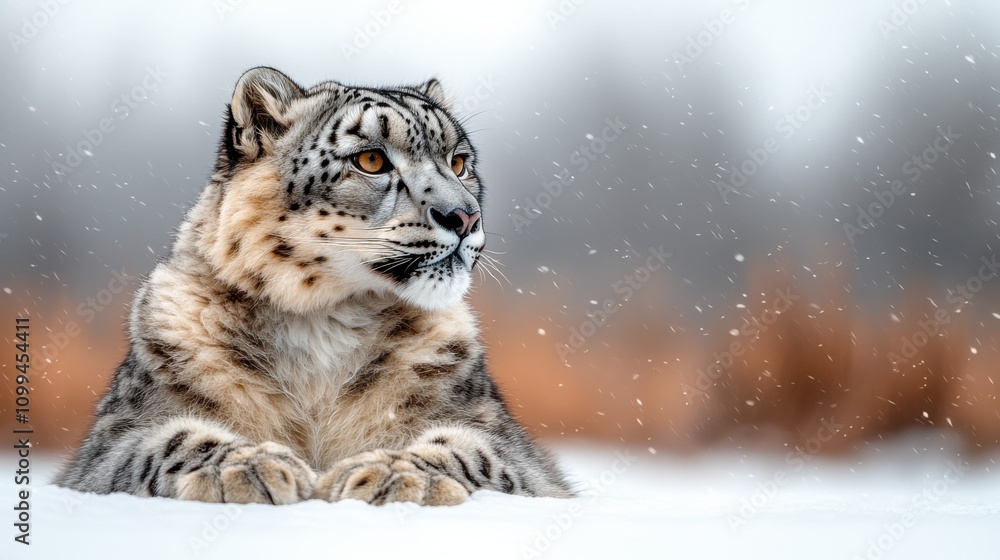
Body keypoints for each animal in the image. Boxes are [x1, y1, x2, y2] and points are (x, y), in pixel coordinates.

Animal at [55, 67, 574, 506]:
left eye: (459, 161)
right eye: (371, 159)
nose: (465, 216)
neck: (325, 324)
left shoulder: (502, 438)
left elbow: (472, 450)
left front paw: (392, 472)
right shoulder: (115, 437)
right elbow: (166, 440)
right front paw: (252, 466)